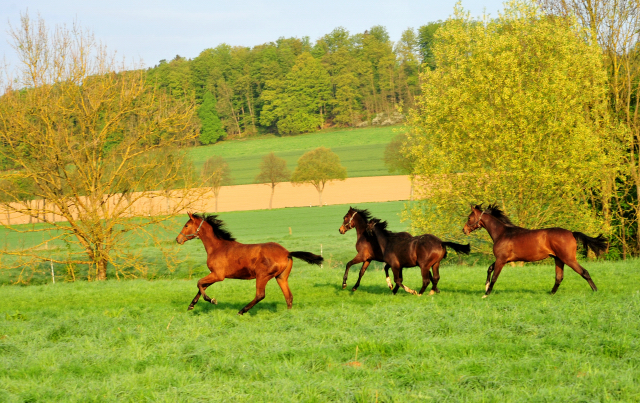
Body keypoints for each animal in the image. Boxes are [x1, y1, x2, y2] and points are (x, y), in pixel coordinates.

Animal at [176, 213, 322, 314]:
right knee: (289, 296)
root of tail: (287, 252)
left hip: (262, 276)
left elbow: (199, 283)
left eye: (186, 225)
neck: (218, 247)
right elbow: (202, 286)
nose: (178, 239)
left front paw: (212, 300)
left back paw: (241, 311)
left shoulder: (218, 275)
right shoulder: (214, 274)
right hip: (281, 277)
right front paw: (191, 305)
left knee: (260, 295)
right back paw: (287, 314)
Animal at [462, 205, 608, 296]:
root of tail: (571, 233)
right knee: (559, 278)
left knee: (584, 272)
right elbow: (489, 269)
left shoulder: (501, 260)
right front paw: (485, 286)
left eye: (469, 218)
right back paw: (551, 294)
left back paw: (595, 290)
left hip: (568, 259)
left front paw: (486, 293)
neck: (503, 233)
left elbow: (494, 277)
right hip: (558, 259)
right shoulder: (503, 259)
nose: (464, 230)